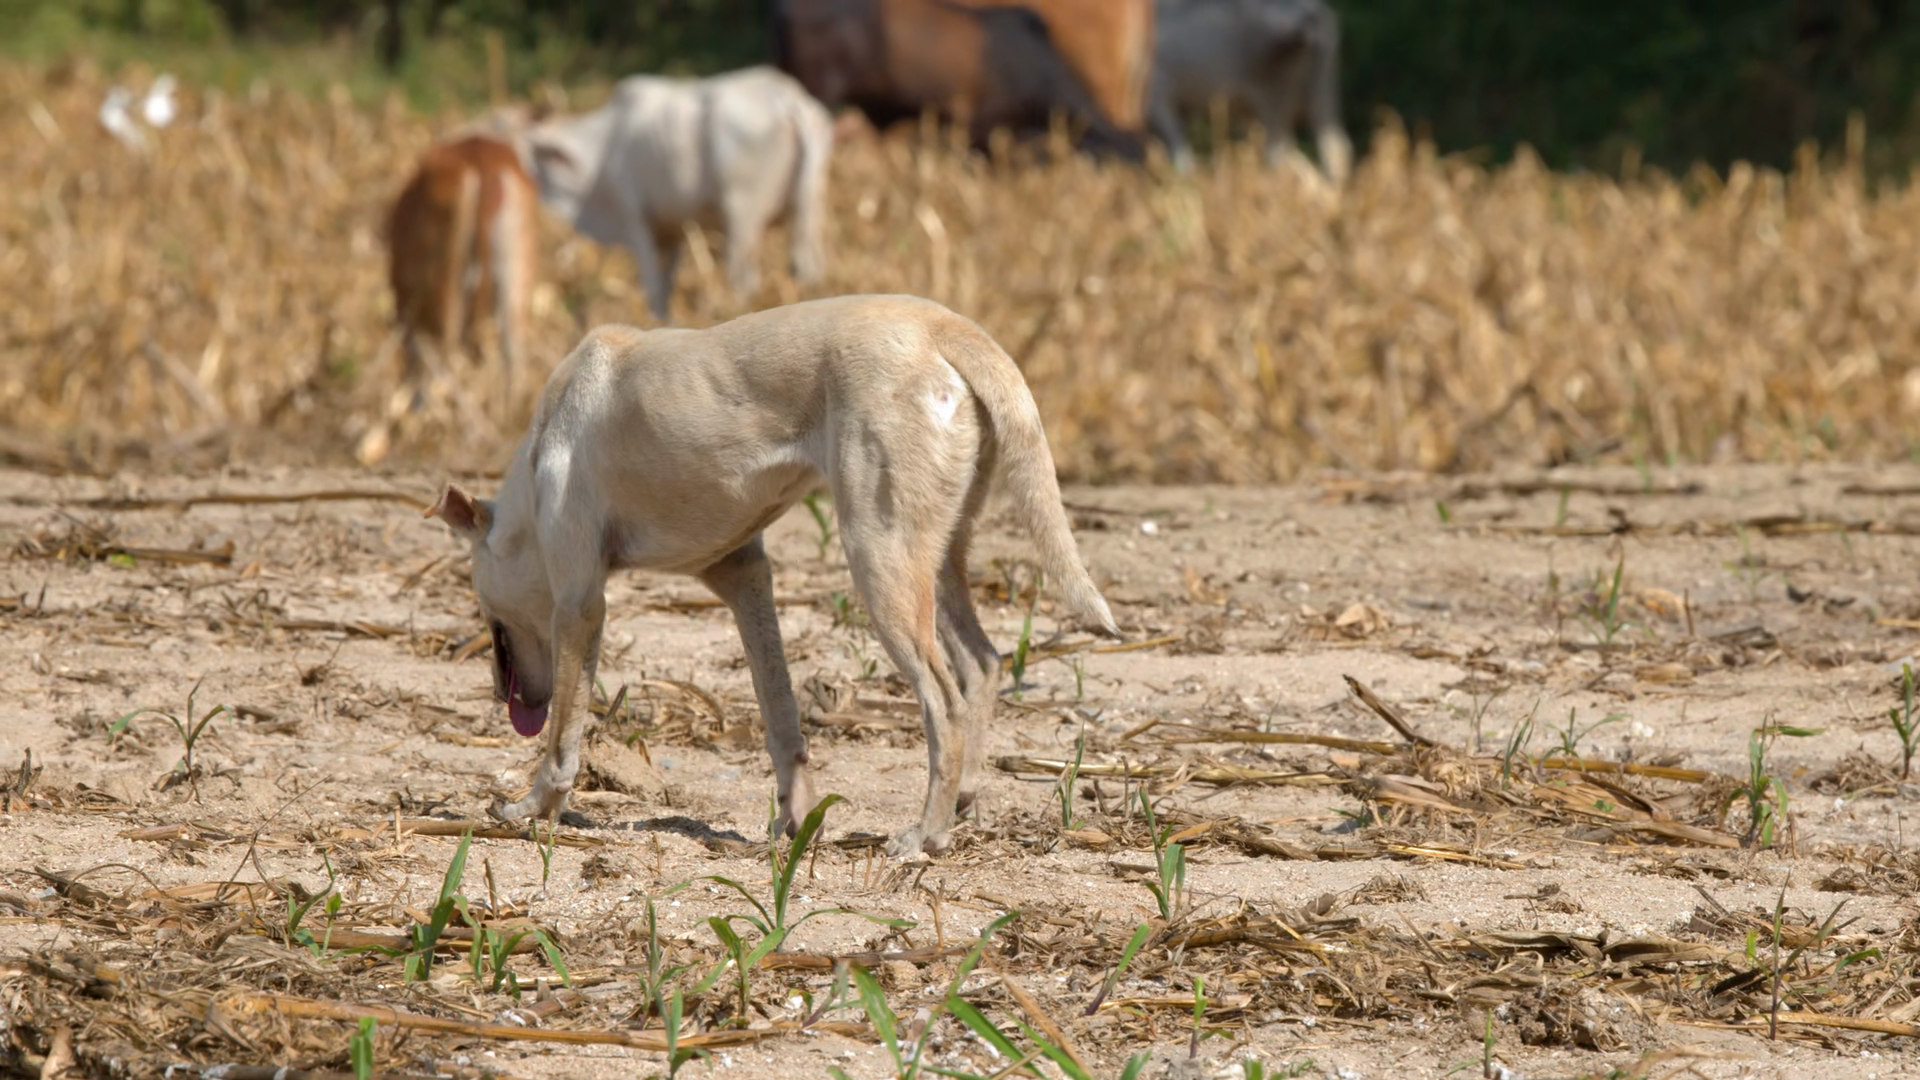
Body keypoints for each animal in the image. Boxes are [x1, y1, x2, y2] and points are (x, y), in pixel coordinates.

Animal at [427, 294, 1119, 856]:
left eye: (482, 605)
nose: (498, 688)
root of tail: (944, 326)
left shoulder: (579, 603)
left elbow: (561, 741)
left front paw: (533, 807)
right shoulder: (745, 580)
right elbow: (781, 715)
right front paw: (798, 820)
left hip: (880, 559)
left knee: (943, 701)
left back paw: (926, 833)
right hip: (937, 557)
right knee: (982, 664)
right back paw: (963, 801)